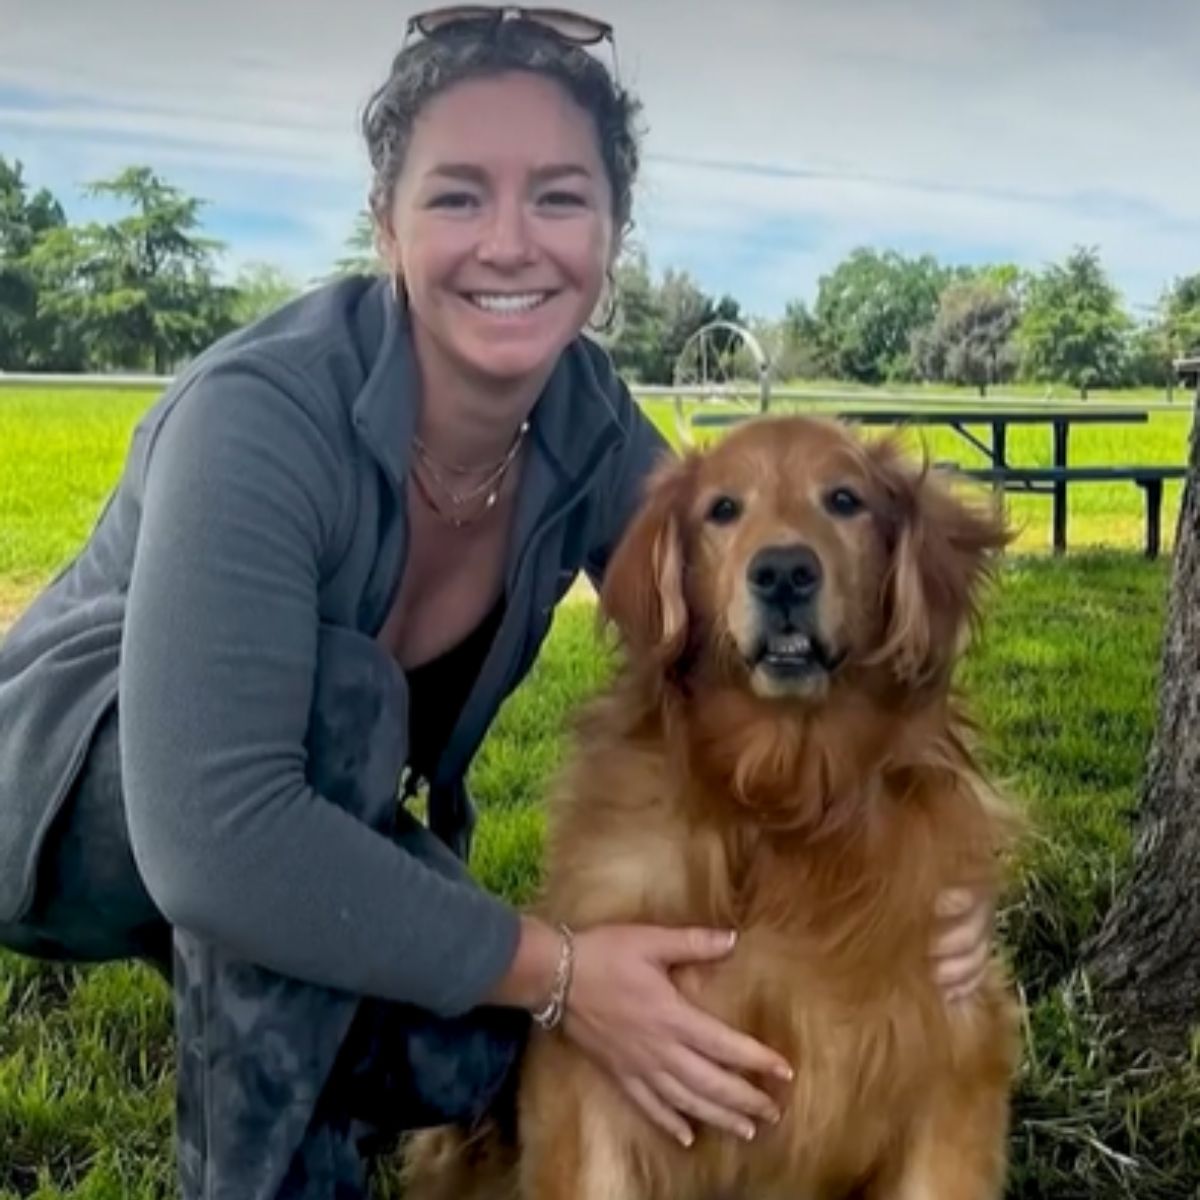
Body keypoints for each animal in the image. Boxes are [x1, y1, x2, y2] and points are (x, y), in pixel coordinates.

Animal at [408, 417, 1017, 1200]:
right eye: (723, 509)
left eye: (844, 500)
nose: (783, 571)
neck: (778, 805)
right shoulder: (597, 1081)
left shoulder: (953, 1063)